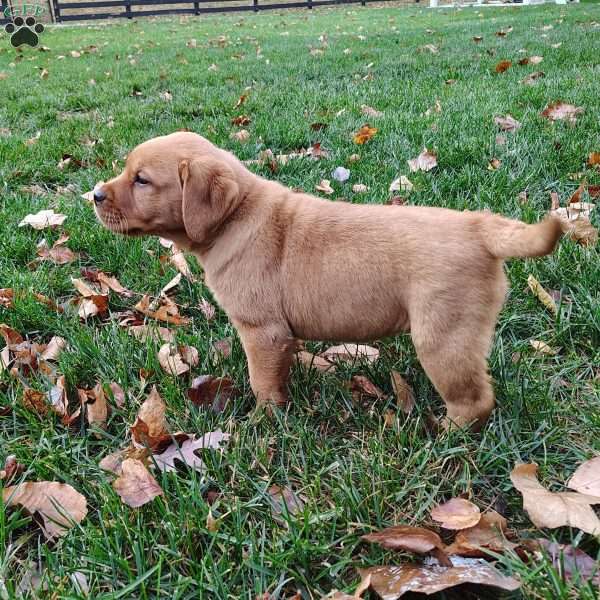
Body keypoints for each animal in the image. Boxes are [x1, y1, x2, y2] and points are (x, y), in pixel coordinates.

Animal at [94, 133, 564, 428]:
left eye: (141, 180)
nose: (94, 195)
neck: (236, 216)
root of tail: (479, 226)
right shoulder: (281, 335)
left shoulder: (262, 332)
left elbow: (263, 383)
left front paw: (262, 421)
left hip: (442, 337)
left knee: (474, 400)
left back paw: (443, 434)